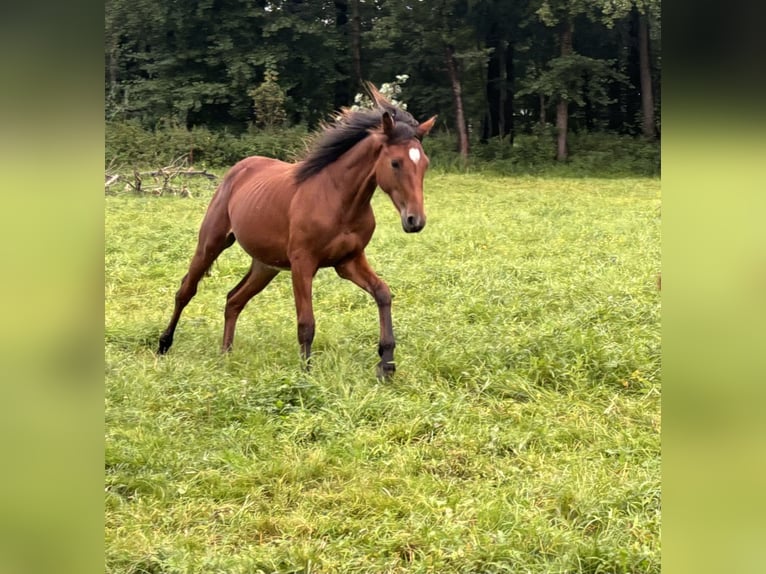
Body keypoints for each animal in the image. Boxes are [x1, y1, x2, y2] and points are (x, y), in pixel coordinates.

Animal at [158, 89, 436, 378]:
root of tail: (238, 169)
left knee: (233, 299)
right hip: (211, 243)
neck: (339, 201)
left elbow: (383, 293)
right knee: (186, 290)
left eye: (425, 165)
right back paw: (164, 344)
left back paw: (225, 354)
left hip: (265, 266)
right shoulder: (303, 263)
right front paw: (306, 374)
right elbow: (306, 322)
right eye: (395, 163)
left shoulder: (349, 261)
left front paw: (386, 363)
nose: (415, 220)